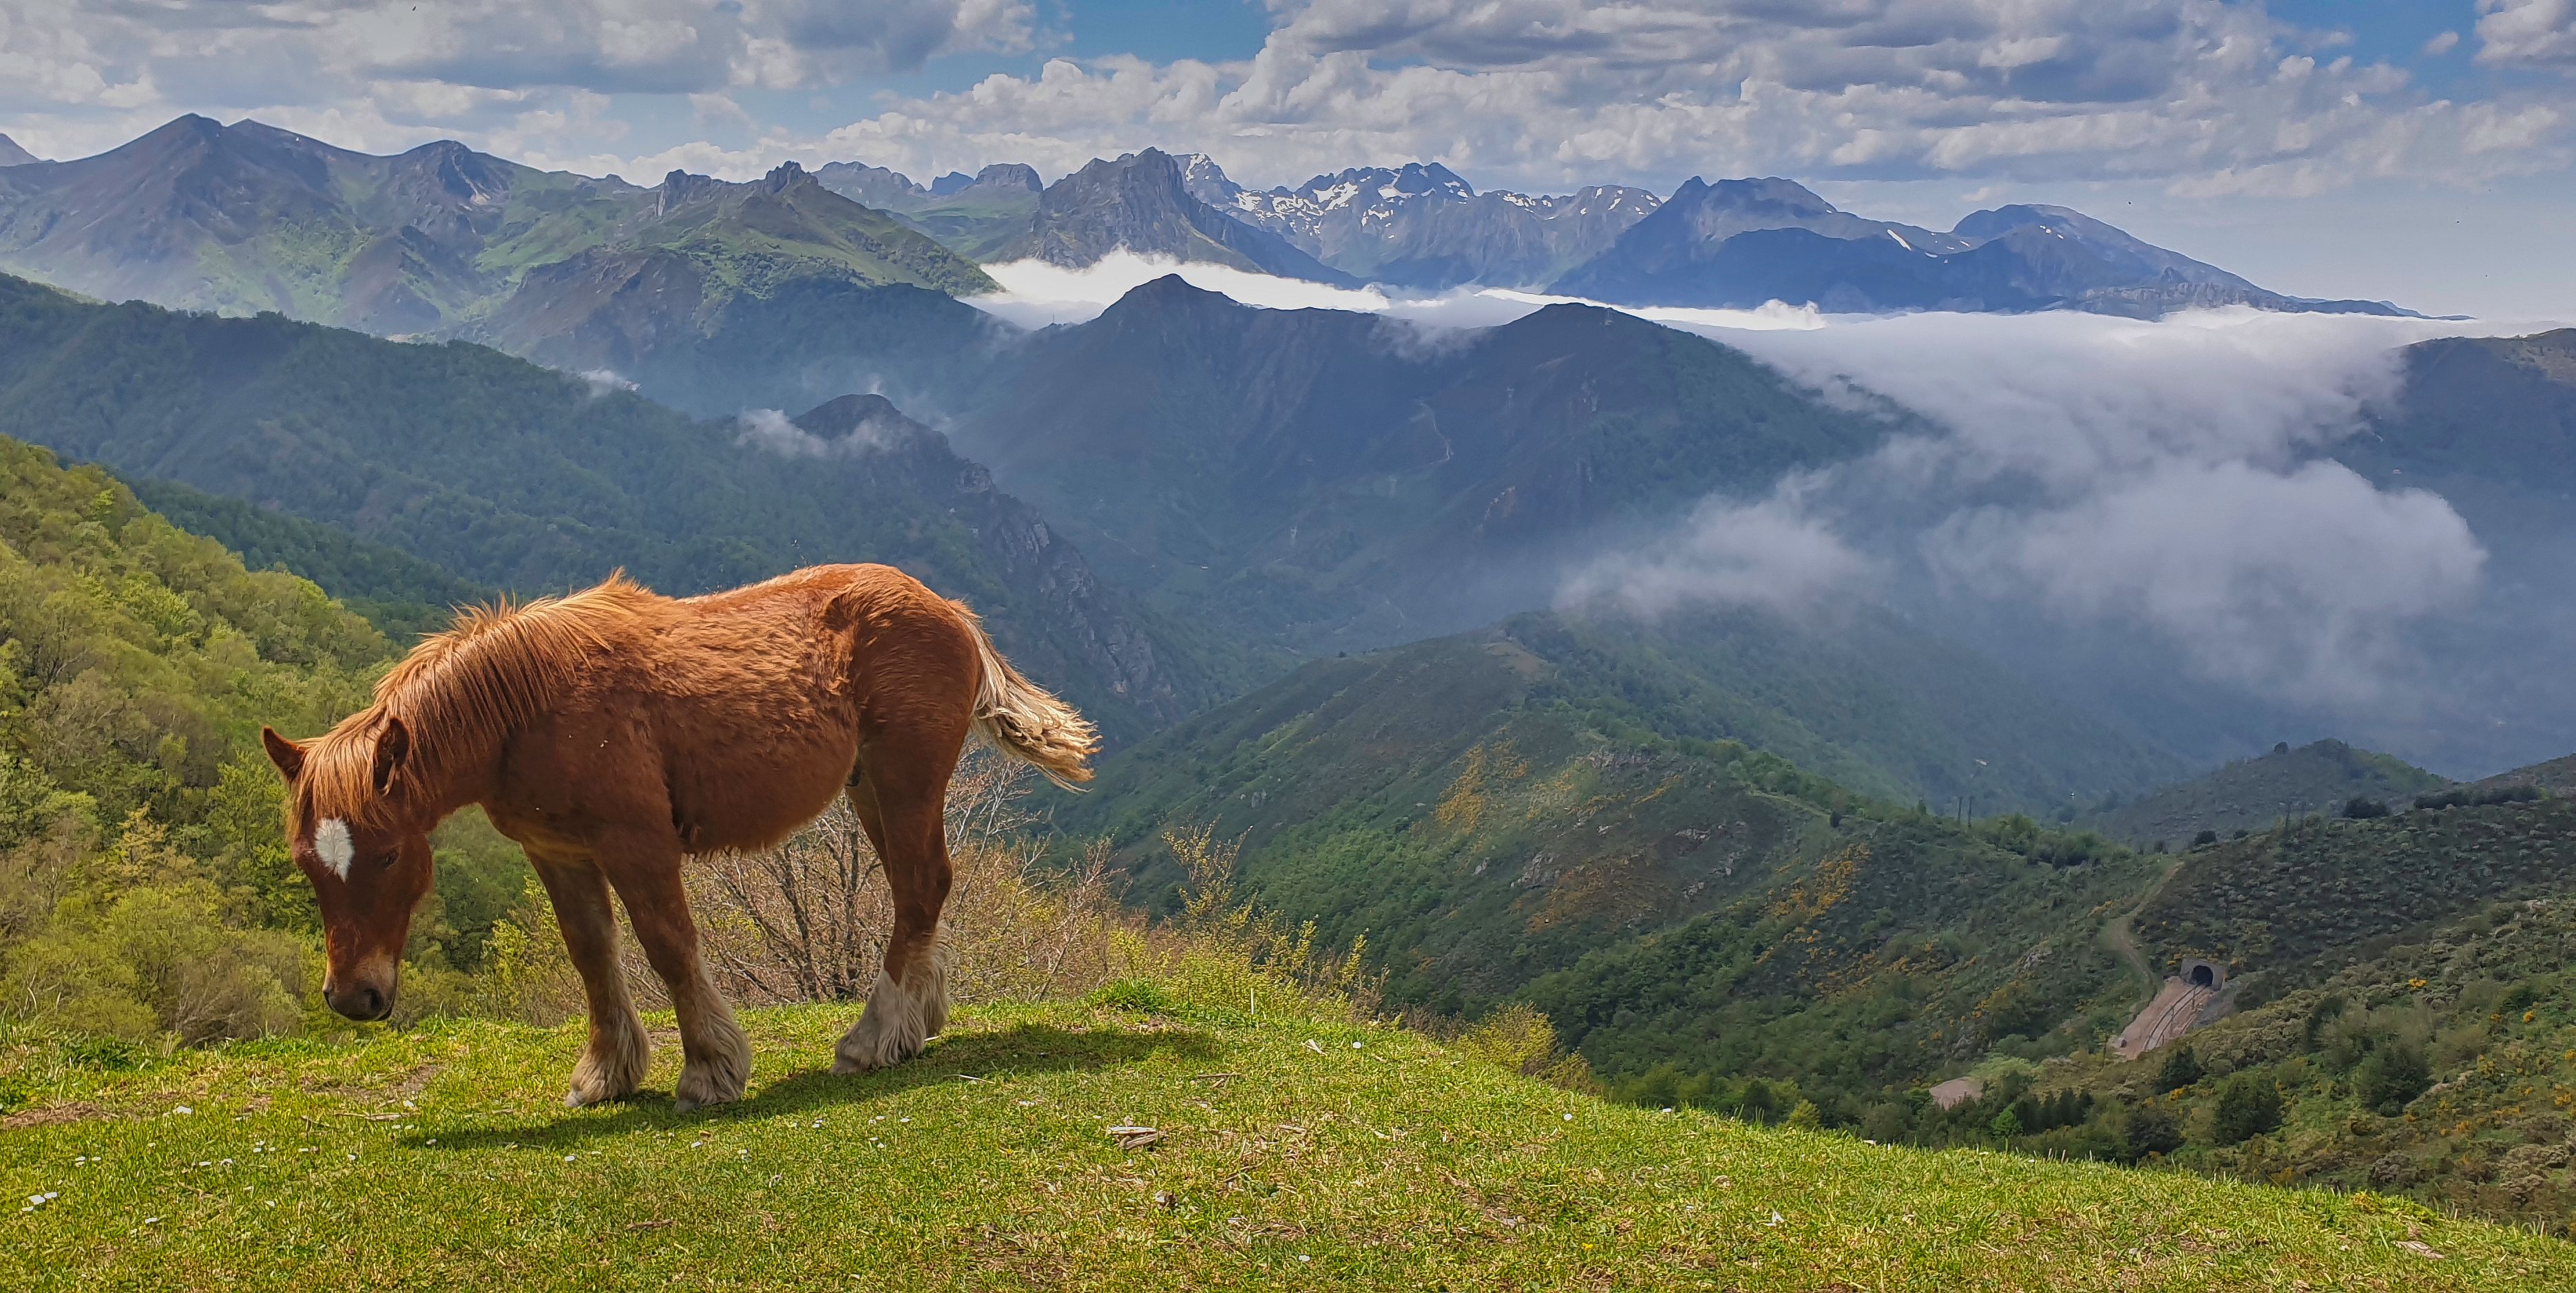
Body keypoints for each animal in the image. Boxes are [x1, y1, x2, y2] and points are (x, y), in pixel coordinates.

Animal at [258, 567, 1097, 1113]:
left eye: (389, 854)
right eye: (307, 865)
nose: (354, 998)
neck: (528, 707)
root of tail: (948, 610)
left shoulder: (638, 844)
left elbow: (667, 946)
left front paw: (710, 1071)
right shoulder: (558, 854)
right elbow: (592, 954)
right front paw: (606, 1074)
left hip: (905, 779)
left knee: (920, 886)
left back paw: (872, 1037)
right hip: (871, 790)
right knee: (917, 889)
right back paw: (914, 1026)